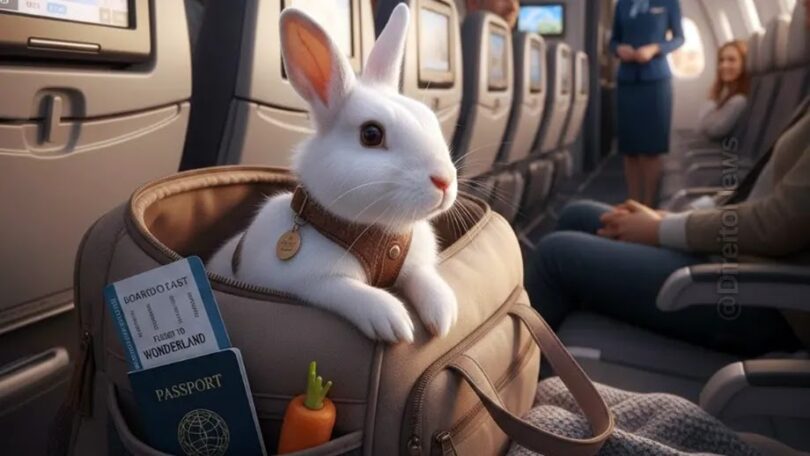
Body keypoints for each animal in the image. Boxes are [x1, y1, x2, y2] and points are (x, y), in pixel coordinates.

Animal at [207, 4, 458, 344]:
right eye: (371, 134)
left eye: (430, 119)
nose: (445, 181)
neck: (378, 233)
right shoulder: (311, 282)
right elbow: (346, 289)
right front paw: (393, 322)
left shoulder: (415, 265)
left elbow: (423, 277)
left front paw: (443, 313)